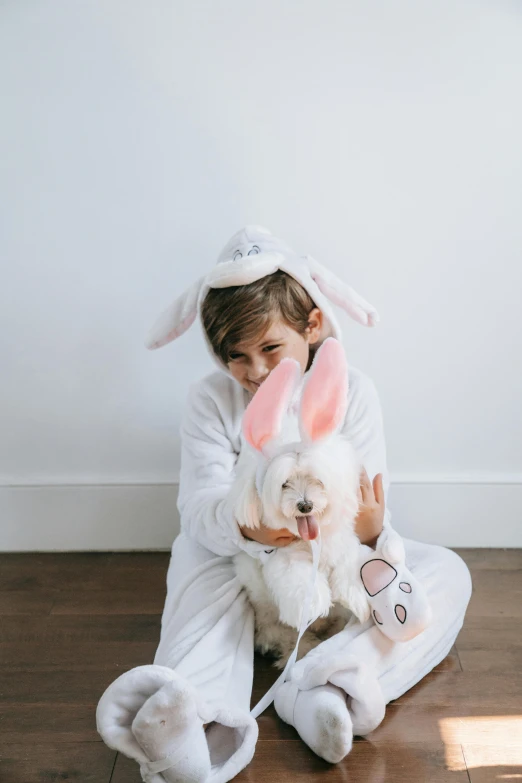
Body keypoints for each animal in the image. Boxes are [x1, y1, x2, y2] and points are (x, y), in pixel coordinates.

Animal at [232, 336, 370, 668]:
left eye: (316, 479)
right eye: (284, 484)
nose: (304, 505)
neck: (312, 543)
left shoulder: (343, 543)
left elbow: (348, 566)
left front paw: (356, 597)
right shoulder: (283, 560)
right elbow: (299, 580)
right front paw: (314, 604)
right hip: (268, 617)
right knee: (282, 635)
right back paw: (303, 650)